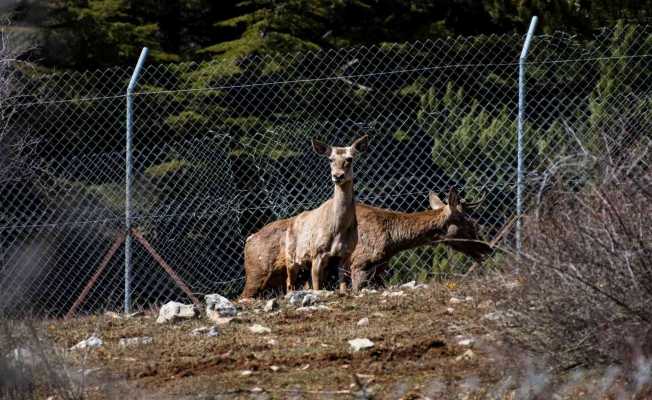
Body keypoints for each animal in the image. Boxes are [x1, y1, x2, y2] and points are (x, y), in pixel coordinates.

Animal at [242, 187, 492, 296]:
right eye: (469, 223)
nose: (488, 249)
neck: (393, 239)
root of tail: (248, 239)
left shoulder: (378, 270)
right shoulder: (359, 264)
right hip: (257, 273)